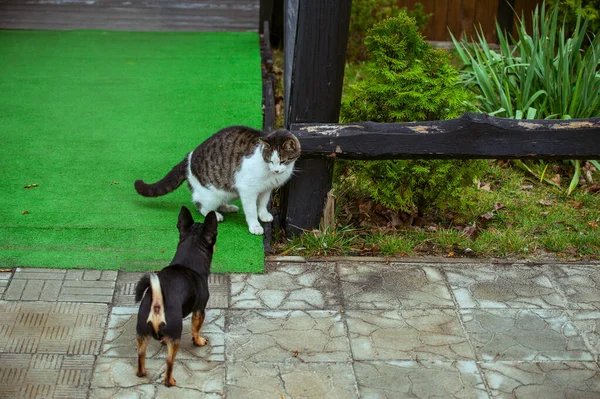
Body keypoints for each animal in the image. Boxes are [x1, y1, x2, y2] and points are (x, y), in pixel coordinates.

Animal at [132, 126, 298, 236]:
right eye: (270, 160)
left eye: (283, 161)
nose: (276, 170)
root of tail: (189, 157)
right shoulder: (248, 189)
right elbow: (251, 210)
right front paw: (255, 226)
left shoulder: (266, 189)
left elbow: (262, 203)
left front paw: (263, 215)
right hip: (210, 195)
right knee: (200, 205)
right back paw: (215, 215)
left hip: (228, 191)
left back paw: (228, 207)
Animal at [134, 206, 218, 388]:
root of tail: (157, 305)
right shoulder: (199, 310)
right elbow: (195, 329)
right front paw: (198, 340)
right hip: (175, 337)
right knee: (169, 363)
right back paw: (170, 381)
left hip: (141, 334)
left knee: (140, 355)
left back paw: (142, 373)